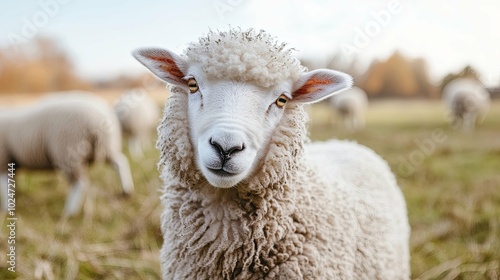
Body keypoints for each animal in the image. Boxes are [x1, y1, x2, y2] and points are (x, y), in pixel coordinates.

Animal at [0, 92, 134, 217]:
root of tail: (100, 115)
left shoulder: (3, 160)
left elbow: (5, 185)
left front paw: (6, 209)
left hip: (68, 151)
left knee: (80, 183)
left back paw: (69, 211)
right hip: (108, 146)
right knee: (120, 162)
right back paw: (126, 191)